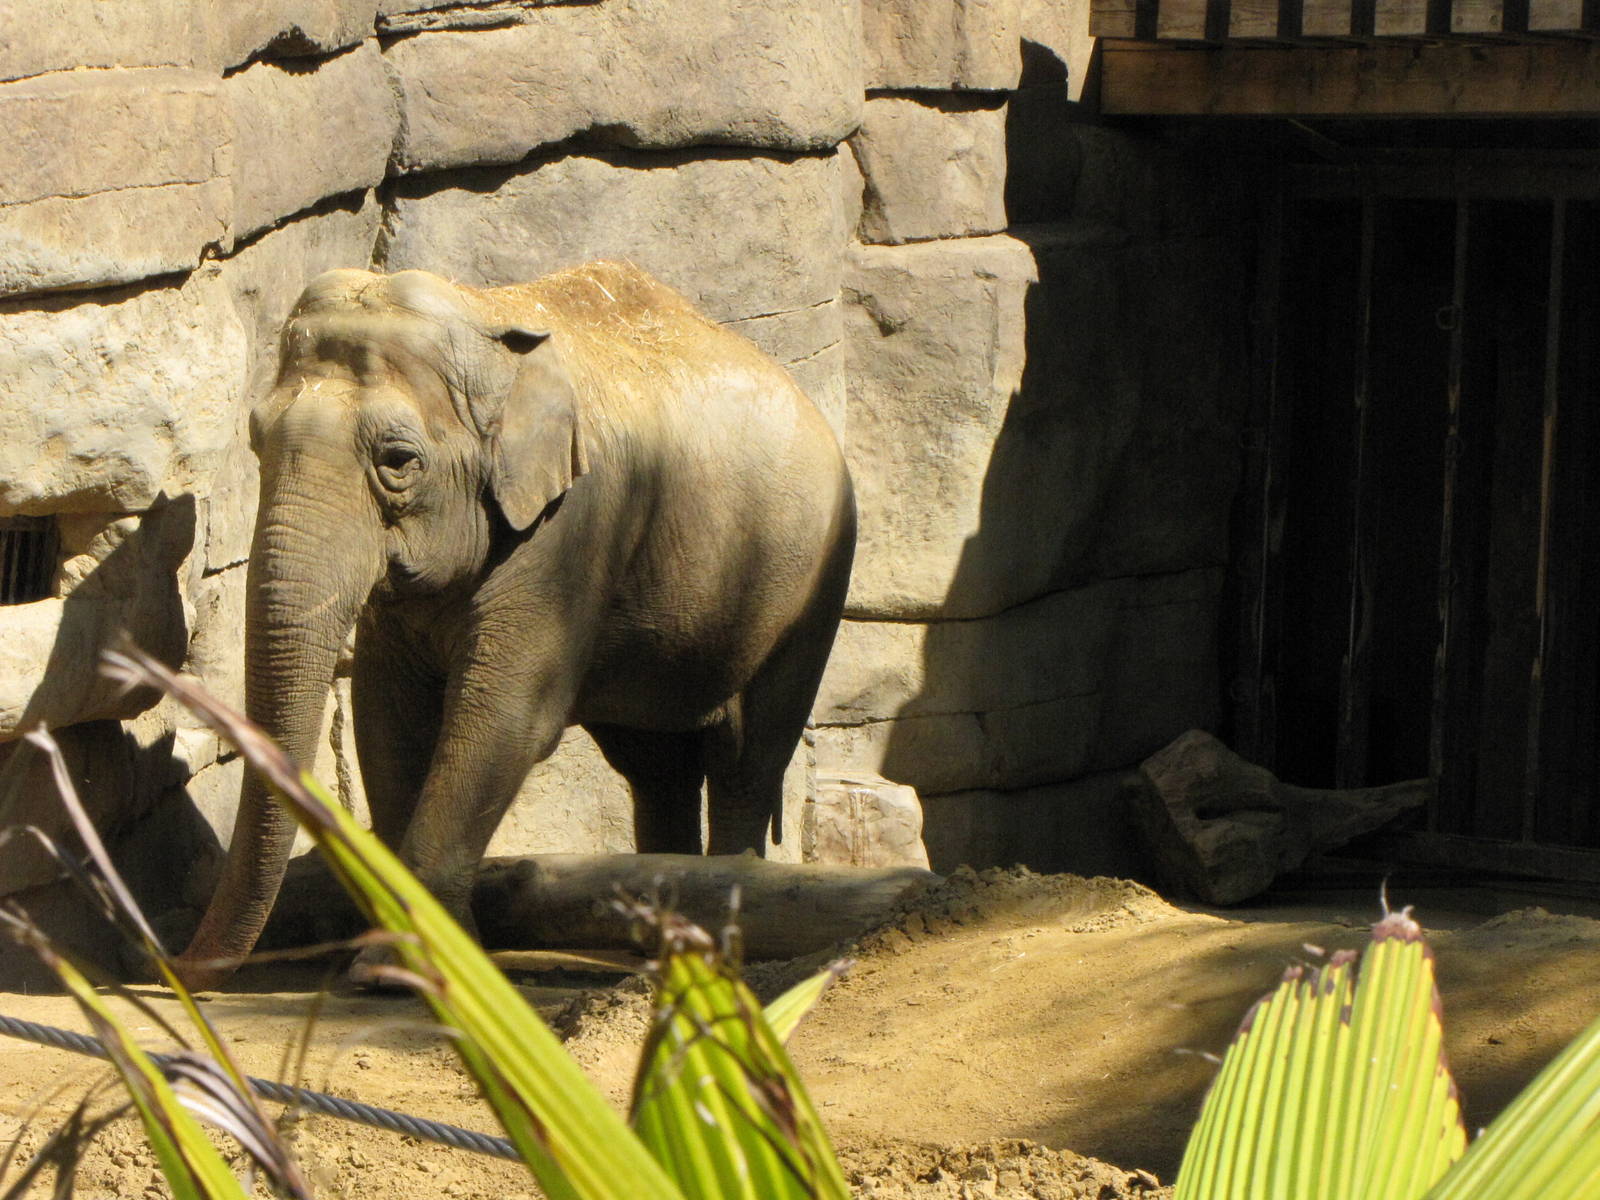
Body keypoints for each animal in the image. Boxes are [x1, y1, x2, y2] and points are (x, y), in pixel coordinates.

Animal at [176, 261, 855, 989]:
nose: (172, 966)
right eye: (256, 439)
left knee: (749, 753)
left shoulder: (575, 522)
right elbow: (388, 718)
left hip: (815, 574)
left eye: (398, 461)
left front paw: (400, 972)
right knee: (655, 764)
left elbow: (503, 714)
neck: (486, 320)